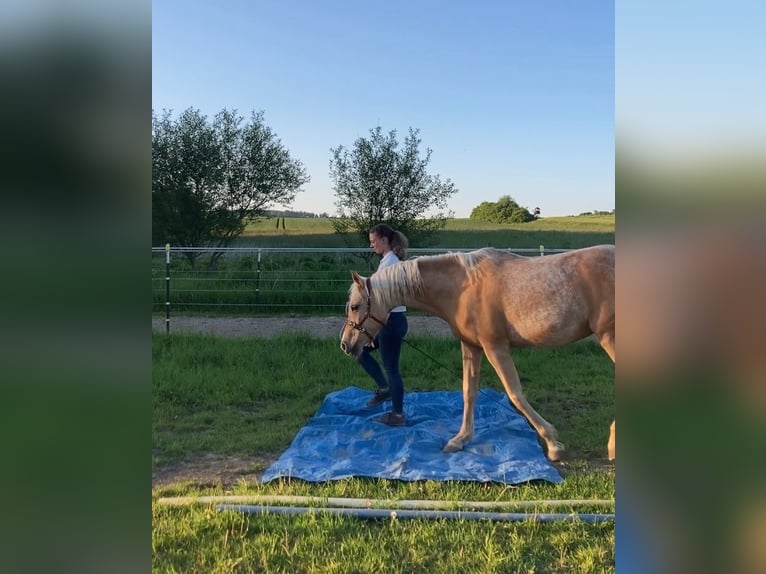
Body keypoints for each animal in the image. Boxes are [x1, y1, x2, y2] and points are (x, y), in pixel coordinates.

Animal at [342, 245, 616, 462]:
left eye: (355, 306)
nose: (346, 344)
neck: (462, 288)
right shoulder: (471, 346)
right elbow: (469, 392)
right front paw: (459, 439)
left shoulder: (495, 346)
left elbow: (515, 394)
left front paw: (553, 444)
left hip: (609, 337)